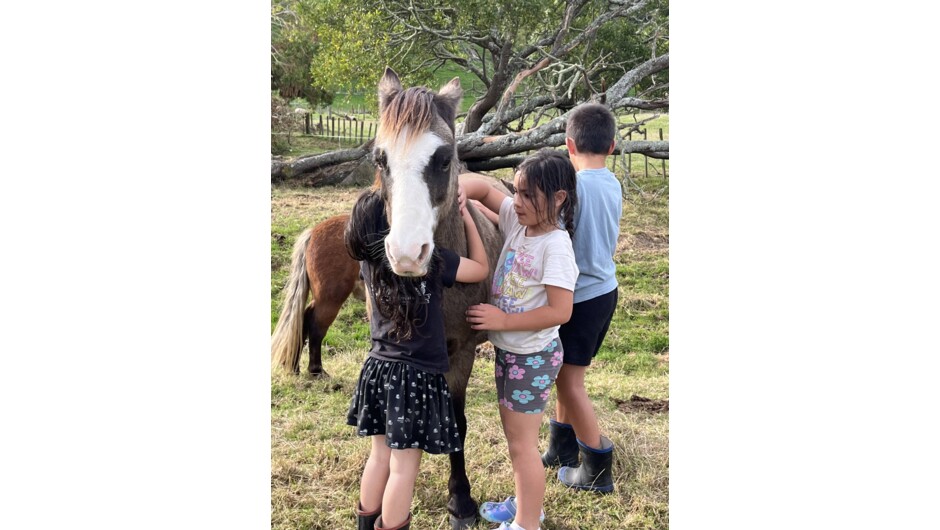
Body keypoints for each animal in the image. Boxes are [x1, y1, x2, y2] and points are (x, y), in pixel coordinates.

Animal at [273, 67, 505, 529]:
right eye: (381, 159)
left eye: (444, 158)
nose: (406, 254)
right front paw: (461, 500)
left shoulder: (463, 351)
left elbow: (457, 422)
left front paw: (460, 498)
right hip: (332, 299)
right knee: (313, 323)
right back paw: (315, 370)